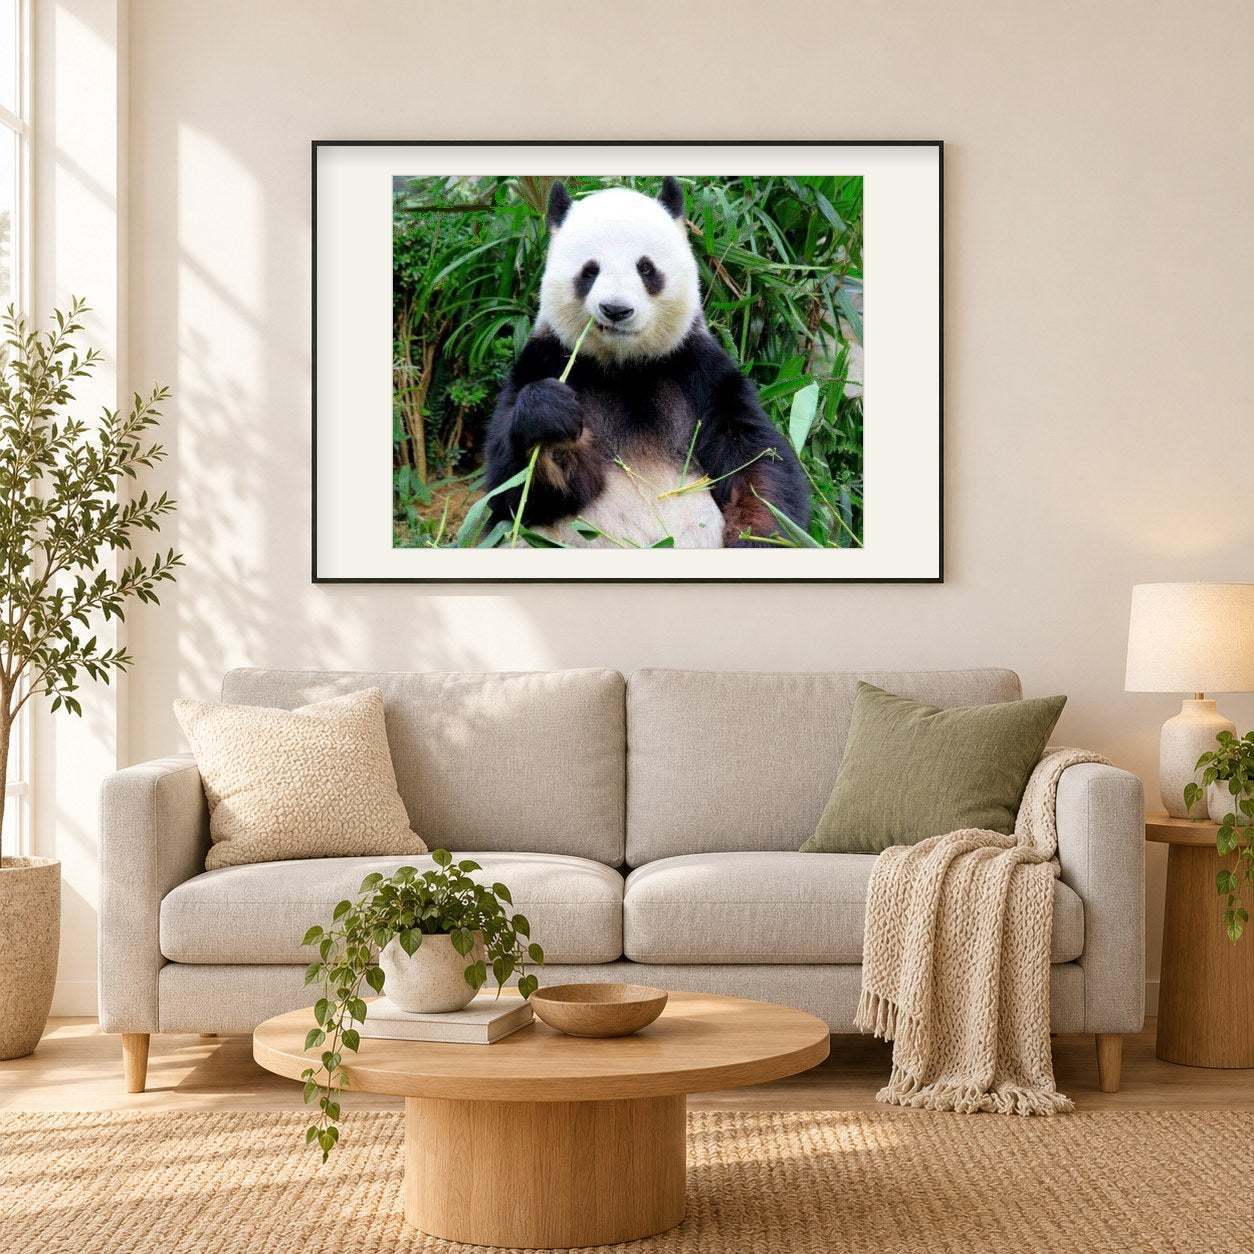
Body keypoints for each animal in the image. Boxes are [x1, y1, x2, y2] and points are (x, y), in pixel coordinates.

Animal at [484, 177, 810, 548]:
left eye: (646, 268)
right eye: (590, 270)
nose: (615, 309)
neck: (625, 367)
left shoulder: (699, 371)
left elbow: (756, 461)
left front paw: (759, 536)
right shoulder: (546, 359)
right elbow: (515, 492)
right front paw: (551, 421)